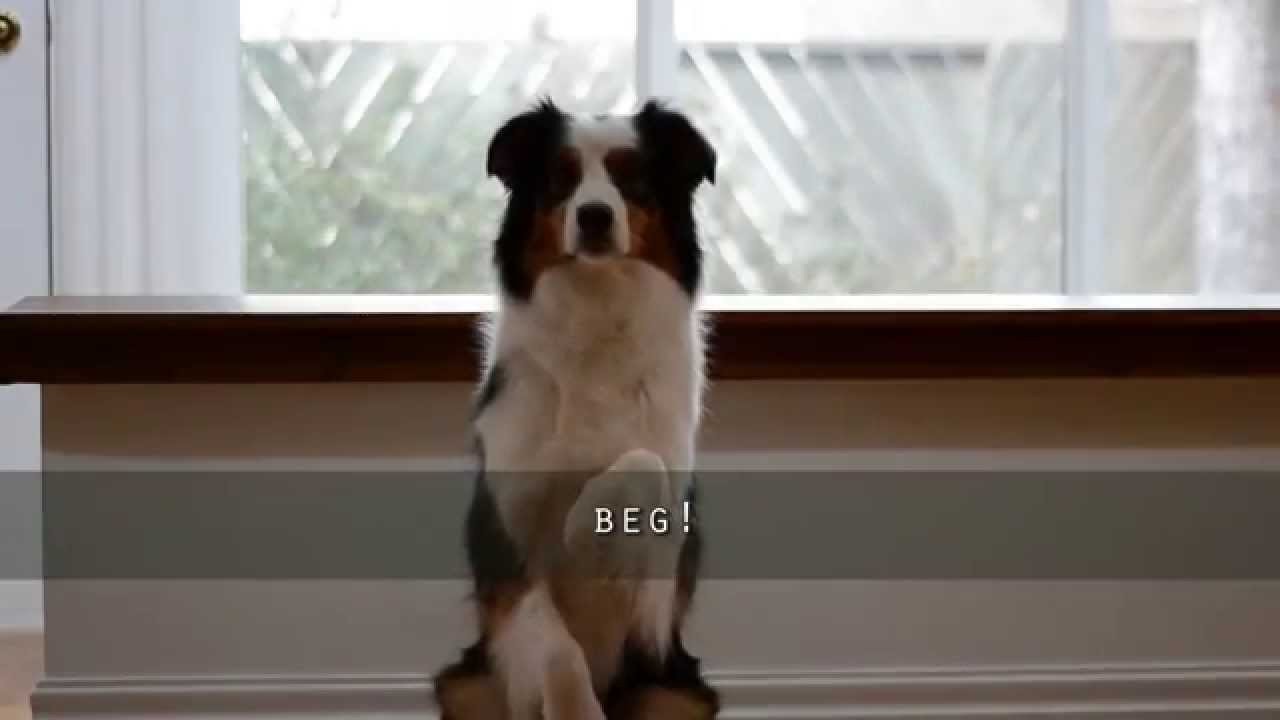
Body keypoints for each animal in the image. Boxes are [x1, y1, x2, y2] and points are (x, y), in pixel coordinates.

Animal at [432, 98, 719, 720]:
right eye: (560, 180)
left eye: (631, 178)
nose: (593, 216)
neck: (596, 313)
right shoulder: (504, 546)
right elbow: (555, 646)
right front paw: (575, 705)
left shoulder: (657, 602)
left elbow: (640, 464)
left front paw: (585, 530)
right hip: (464, 686)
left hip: (679, 691)